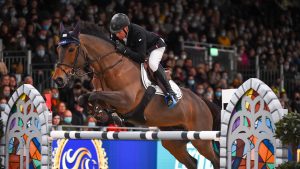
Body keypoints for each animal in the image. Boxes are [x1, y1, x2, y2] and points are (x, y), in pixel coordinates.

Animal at [51, 21, 220, 168]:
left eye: (71, 49)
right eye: (58, 49)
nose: (58, 79)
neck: (109, 68)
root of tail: (203, 101)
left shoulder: (126, 100)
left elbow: (93, 96)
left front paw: (101, 114)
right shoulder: (105, 94)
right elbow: (85, 97)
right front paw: (102, 114)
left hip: (201, 139)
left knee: (215, 160)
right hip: (173, 140)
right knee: (192, 162)